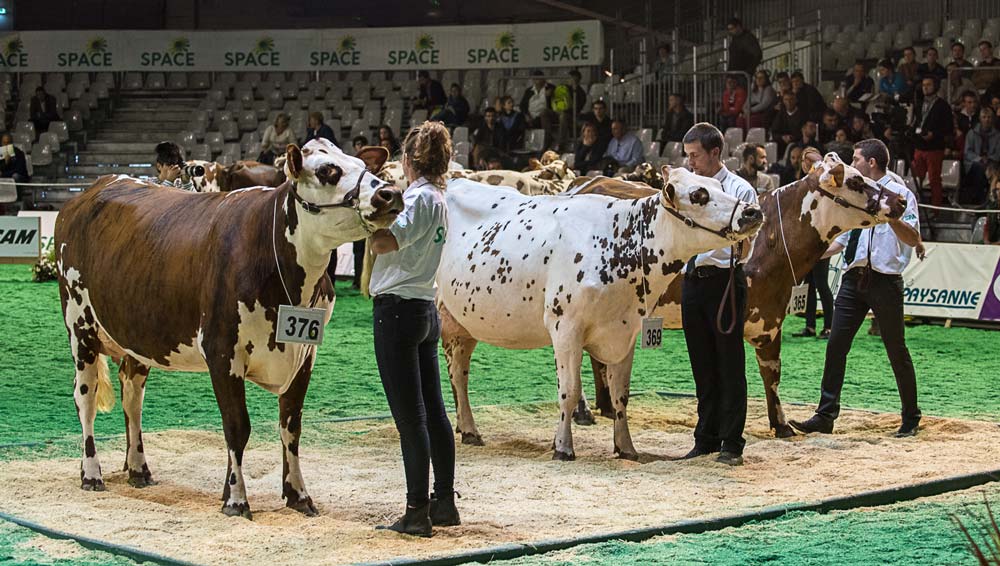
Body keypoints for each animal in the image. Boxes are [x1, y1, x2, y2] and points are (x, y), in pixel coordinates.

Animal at [54, 140, 402, 520]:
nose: (390, 193)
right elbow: (237, 427)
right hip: (79, 325)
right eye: (328, 170)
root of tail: (90, 191)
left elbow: (291, 425)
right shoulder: (222, 352)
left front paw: (298, 495)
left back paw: (138, 469)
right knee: (85, 398)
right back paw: (91, 473)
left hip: (136, 336)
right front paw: (236, 499)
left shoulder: (304, 355)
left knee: (133, 398)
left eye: (362, 166)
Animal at [440, 168, 764, 462]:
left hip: (463, 323)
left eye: (720, 186)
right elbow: (568, 391)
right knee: (456, 375)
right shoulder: (565, 326)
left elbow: (621, 394)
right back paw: (468, 429)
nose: (752, 211)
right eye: (699, 195)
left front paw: (626, 447)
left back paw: (466, 428)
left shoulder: (627, 330)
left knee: (460, 374)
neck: (619, 243)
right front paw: (563, 447)